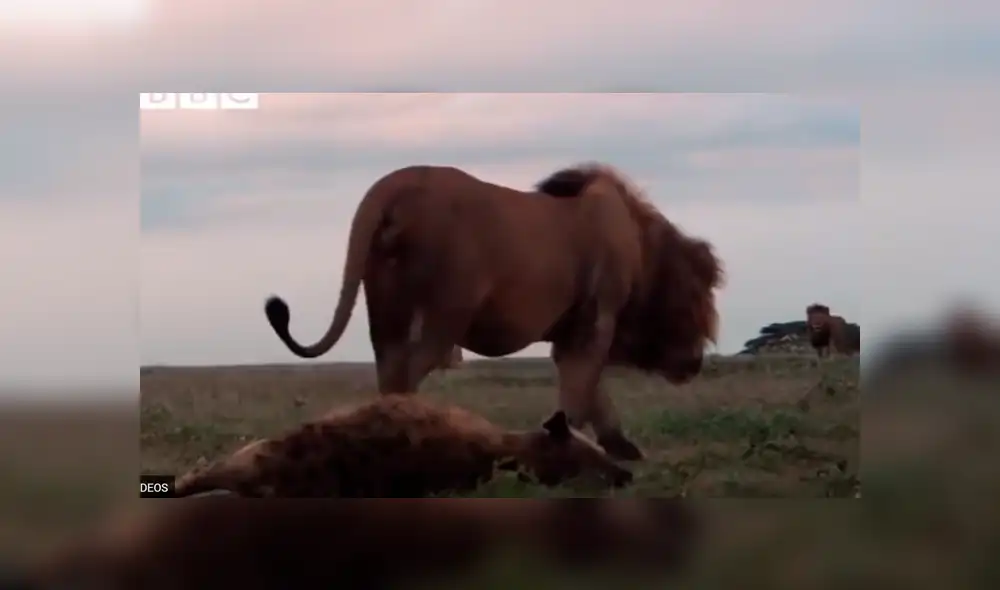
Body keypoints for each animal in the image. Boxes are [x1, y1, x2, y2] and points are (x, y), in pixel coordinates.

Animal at [264, 163, 724, 461]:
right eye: (701, 301)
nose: (695, 363)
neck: (645, 253)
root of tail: (397, 182)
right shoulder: (597, 318)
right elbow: (581, 385)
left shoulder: (573, 327)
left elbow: (590, 389)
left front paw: (619, 447)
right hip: (447, 311)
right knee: (407, 376)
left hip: (385, 308)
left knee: (390, 372)